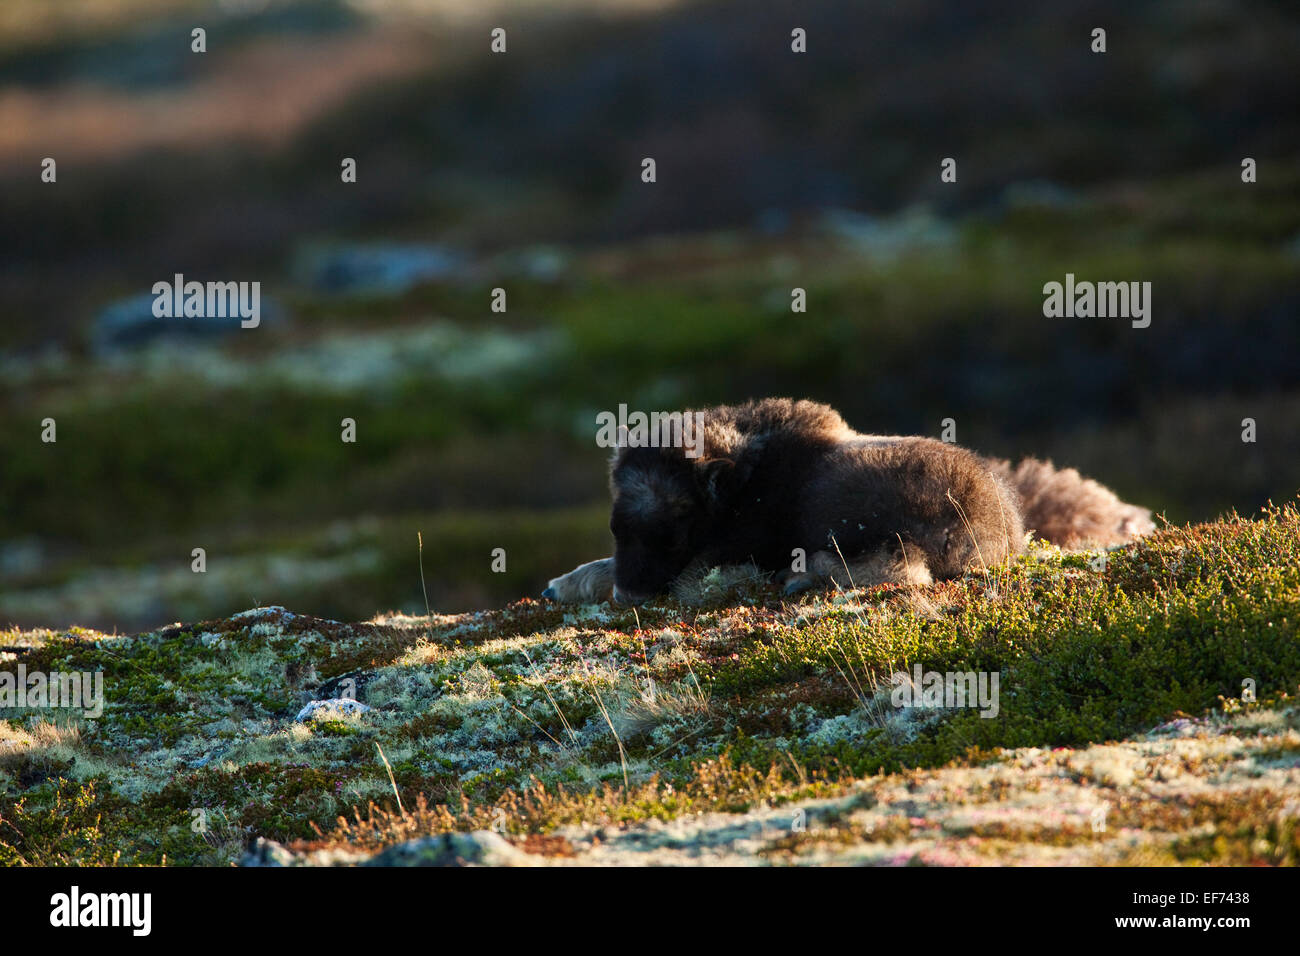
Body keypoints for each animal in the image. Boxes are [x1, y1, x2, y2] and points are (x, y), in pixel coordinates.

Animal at [543, 398, 1154, 606]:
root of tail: (1001, 525)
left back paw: (801, 577)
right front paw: (564, 584)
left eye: (677, 520)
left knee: (904, 569)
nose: (629, 594)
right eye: (616, 524)